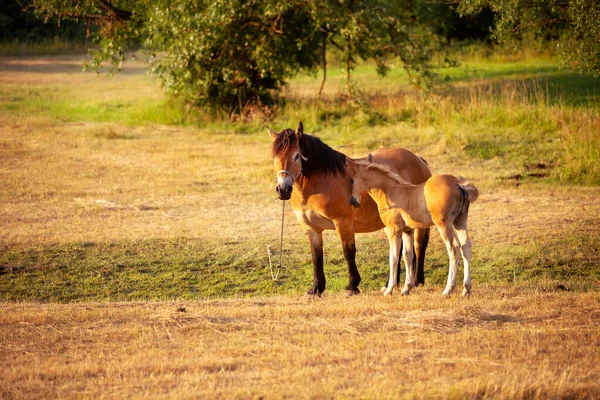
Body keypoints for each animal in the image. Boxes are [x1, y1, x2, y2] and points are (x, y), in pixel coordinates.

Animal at [268, 120, 432, 296]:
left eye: (297, 156)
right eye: (274, 156)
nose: (283, 189)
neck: (319, 185)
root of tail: (418, 159)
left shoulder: (343, 223)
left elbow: (348, 252)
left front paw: (352, 286)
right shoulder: (310, 228)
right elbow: (316, 255)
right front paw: (316, 288)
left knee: (419, 247)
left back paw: (417, 281)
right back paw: (390, 283)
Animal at [346, 155, 478, 296]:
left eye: (352, 180)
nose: (353, 201)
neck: (390, 191)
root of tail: (458, 183)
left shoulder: (393, 231)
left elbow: (393, 258)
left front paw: (389, 289)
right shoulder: (407, 231)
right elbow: (407, 255)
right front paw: (406, 289)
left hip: (444, 224)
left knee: (453, 247)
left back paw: (448, 290)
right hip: (460, 221)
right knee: (465, 246)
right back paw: (466, 289)